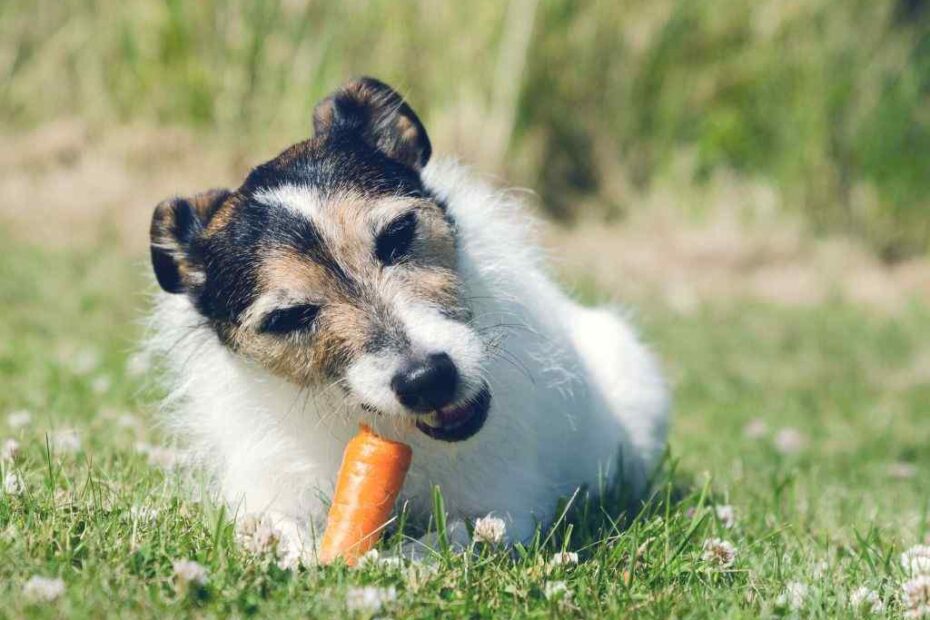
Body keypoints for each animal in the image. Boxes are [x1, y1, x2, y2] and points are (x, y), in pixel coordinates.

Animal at [147, 77, 668, 560]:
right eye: (287, 317)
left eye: (398, 234)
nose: (428, 379)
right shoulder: (268, 491)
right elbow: (272, 525)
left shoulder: (504, 506)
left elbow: (451, 538)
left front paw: (393, 562)